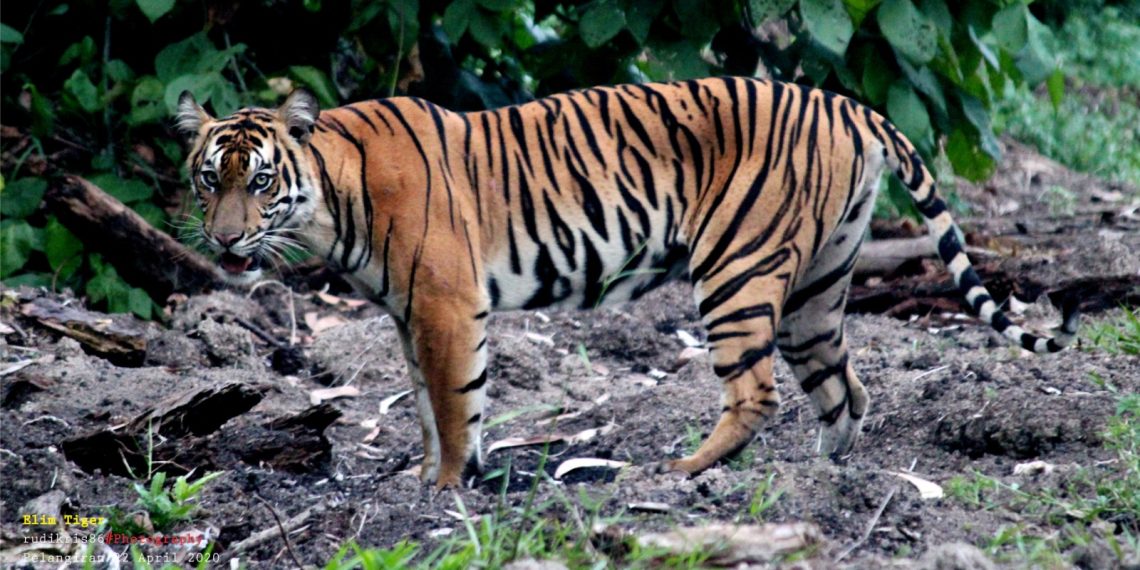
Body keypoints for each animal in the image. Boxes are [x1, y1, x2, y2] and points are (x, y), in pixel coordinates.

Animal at [176, 77, 1078, 489]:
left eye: (260, 182)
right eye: (207, 180)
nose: (222, 241)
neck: (332, 199)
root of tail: (842, 100)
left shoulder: (445, 305)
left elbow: (455, 403)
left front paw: (447, 489)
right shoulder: (407, 316)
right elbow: (428, 405)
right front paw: (429, 479)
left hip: (737, 269)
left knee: (756, 393)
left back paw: (681, 473)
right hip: (818, 289)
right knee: (843, 388)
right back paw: (823, 481)